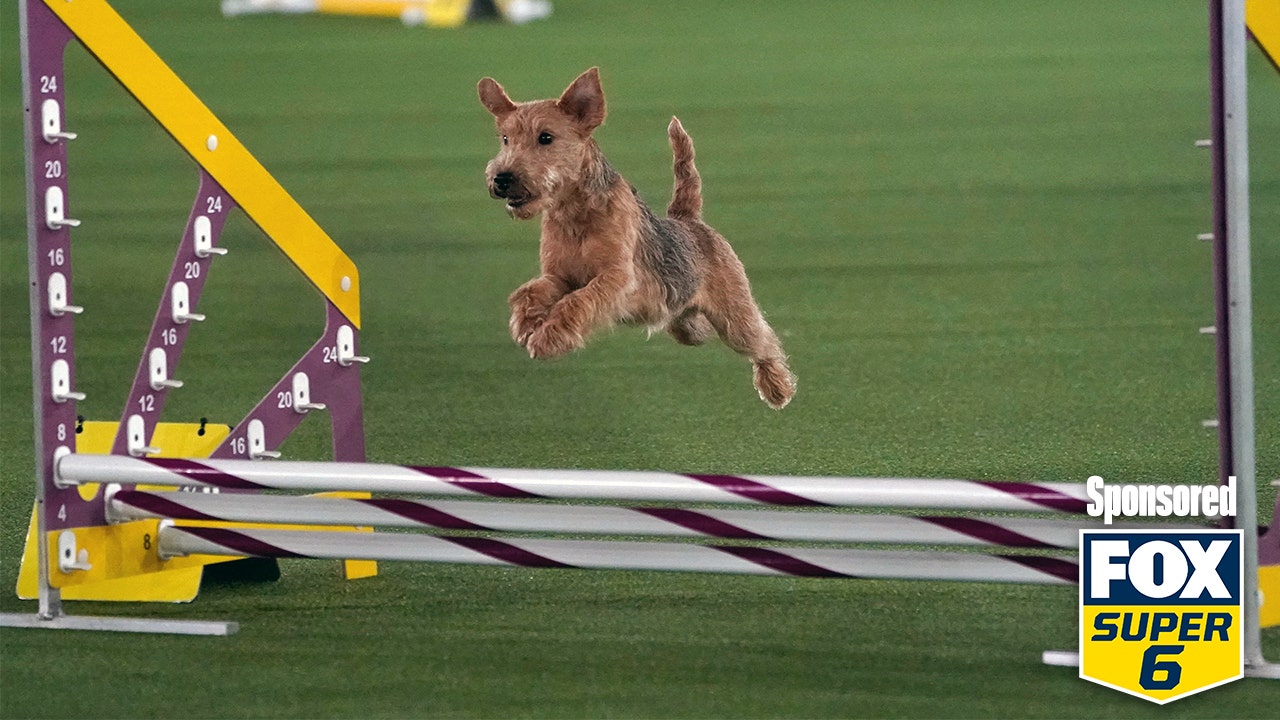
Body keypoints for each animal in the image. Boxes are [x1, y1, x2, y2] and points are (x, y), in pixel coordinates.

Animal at [481, 67, 793, 409]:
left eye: (545, 137)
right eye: (505, 139)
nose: (502, 178)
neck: (574, 215)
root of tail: (689, 219)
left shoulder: (616, 277)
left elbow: (576, 303)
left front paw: (549, 338)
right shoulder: (559, 276)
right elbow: (529, 293)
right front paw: (525, 324)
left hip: (735, 318)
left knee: (763, 341)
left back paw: (778, 388)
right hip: (682, 318)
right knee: (694, 325)